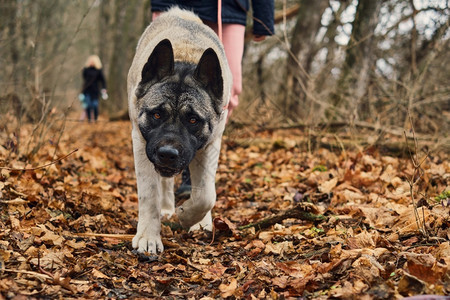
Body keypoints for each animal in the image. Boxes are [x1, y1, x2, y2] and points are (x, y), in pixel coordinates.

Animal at [127, 7, 230, 253]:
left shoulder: (211, 143)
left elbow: (206, 194)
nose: (167, 154)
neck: (186, 57)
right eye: (156, 115)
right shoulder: (140, 141)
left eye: (193, 120)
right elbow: (149, 193)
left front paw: (188, 216)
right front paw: (148, 236)